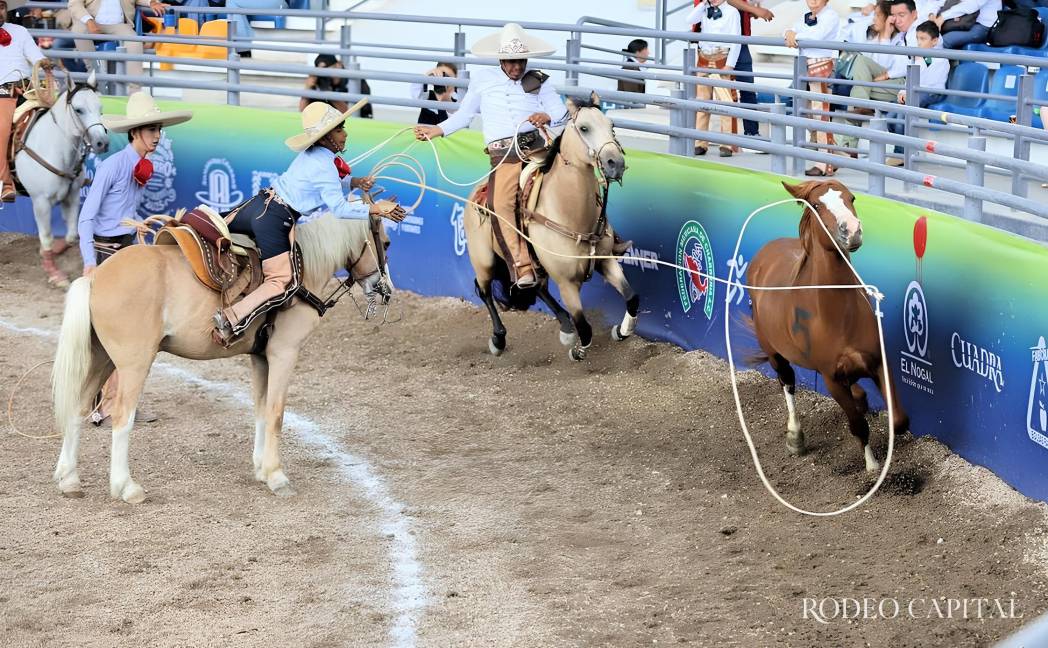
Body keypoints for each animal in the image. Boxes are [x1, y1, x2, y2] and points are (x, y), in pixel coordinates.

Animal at [16, 70, 109, 288]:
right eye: (79, 109)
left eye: (100, 108)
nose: (102, 143)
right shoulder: (40, 202)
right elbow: (47, 237)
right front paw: (55, 274)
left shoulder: (72, 196)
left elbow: (72, 235)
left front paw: (50, 252)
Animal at [50, 212, 390, 503]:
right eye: (385, 243)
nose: (384, 289)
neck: (297, 275)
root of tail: (94, 278)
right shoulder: (284, 353)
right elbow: (276, 414)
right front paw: (277, 476)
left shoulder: (260, 358)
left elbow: (261, 410)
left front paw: (261, 469)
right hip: (133, 365)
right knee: (122, 417)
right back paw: (127, 486)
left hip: (102, 358)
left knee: (78, 408)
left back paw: (69, 479)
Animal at [464, 93, 639, 361]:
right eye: (584, 128)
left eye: (612, 126)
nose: (615, 163)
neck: (571, 214)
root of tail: (477, 193)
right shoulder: (566, 282)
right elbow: (584, 327)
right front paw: (578, 351)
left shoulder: (605, 260)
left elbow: (632, 298)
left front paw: (622, 331)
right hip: (483, 259)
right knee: (484, 291)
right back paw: (498, 339)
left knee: (538, 287)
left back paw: (565, 327)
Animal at [746, 180, 909, 472]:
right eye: (817, 205)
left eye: (851, 198)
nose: (852, 230)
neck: (838, 315)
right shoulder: (830, 378)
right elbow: (858, 425)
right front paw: (872, 467)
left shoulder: (879, 362)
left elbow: (899, 420)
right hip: (775, 353)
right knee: (787, 383)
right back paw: (795, 438)